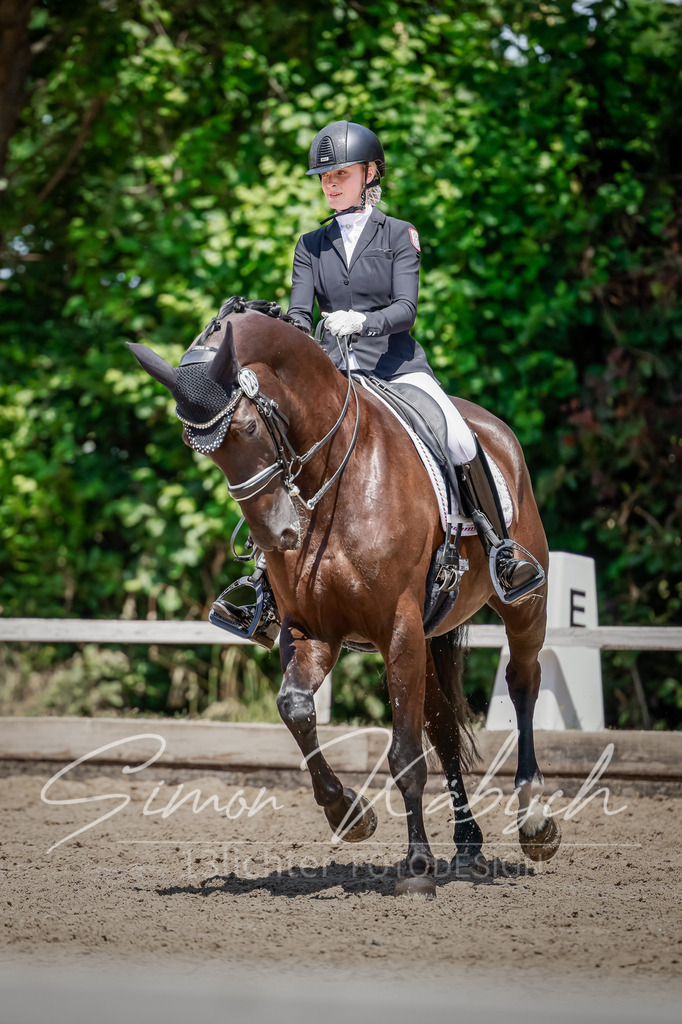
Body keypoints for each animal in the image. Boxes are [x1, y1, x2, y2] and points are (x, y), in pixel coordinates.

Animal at [129, 298, 561, 897]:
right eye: (201, 450)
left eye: (248, 426)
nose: (279, 536)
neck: (331, 474)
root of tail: (492, 427)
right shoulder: (311, 629)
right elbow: (296, 710)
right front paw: (350, 816)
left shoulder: (397, 626)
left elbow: (404, 755)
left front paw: (417, 868)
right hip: (429, 636)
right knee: (443, 726)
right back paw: (468, 845)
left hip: (521, 608)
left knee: (522, 686)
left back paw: (535, 823)